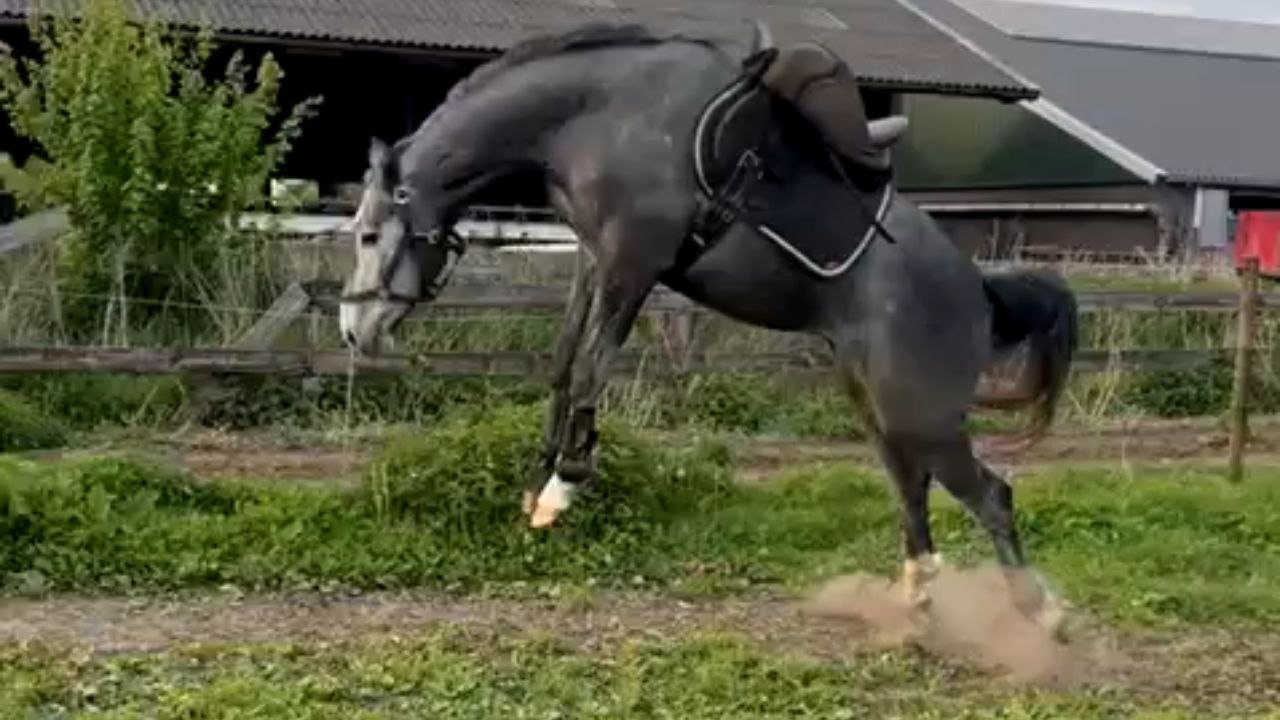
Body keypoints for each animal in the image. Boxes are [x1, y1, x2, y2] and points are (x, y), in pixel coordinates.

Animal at [338, 21, 1078, 628]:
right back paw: (919, 598)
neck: (595, 114)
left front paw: (562, 486)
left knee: (991, 496)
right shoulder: (594, 258)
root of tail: (978, 289)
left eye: (371, 234)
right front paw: (538, 478)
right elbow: (563, 364)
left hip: (921, 412)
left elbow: (591, 368)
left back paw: (1041, 616)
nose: (353, 329)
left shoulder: (632, 262)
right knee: (914, 489)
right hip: (883, 409)